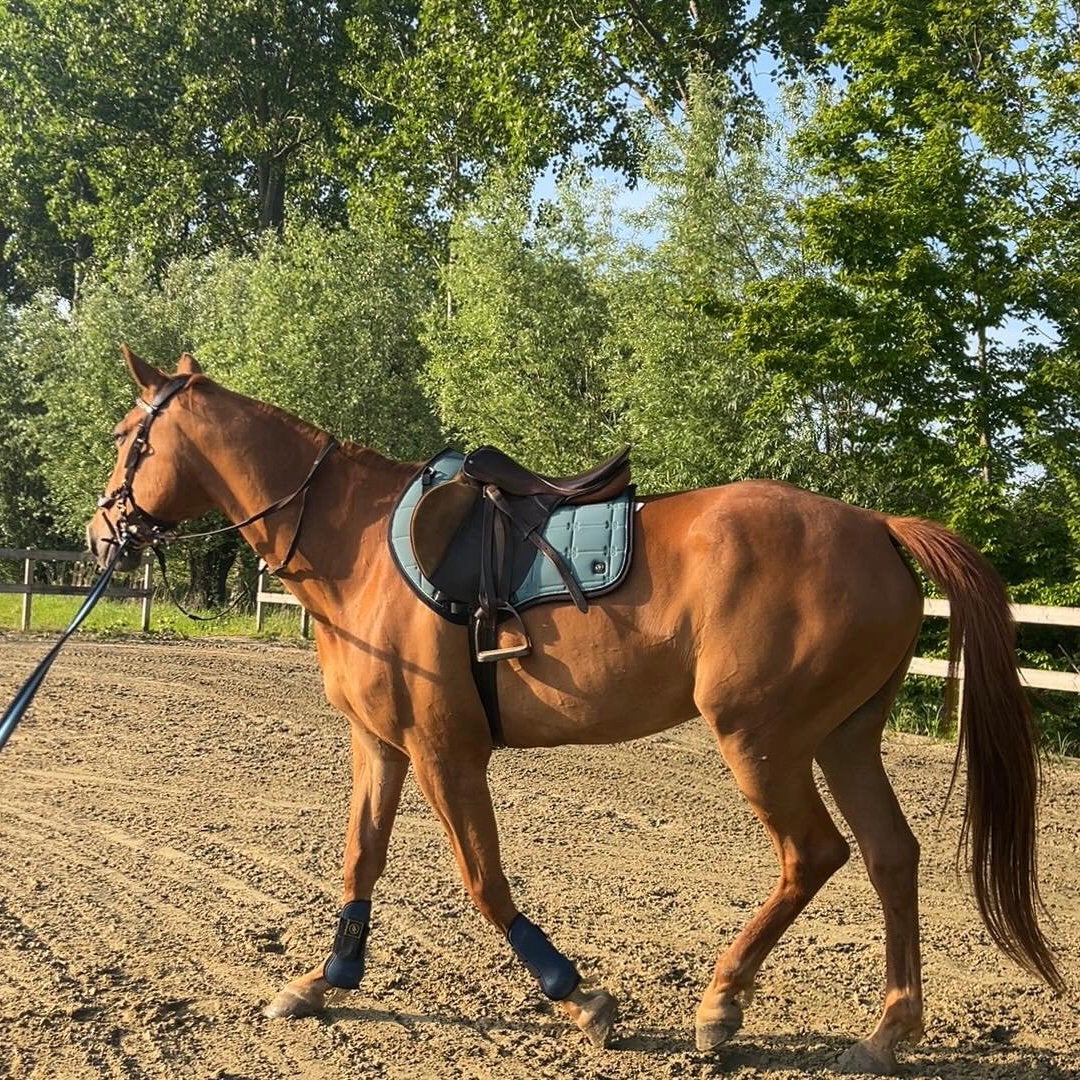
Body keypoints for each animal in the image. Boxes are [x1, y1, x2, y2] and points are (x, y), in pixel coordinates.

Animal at [86, 348, 1062, 1075]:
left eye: (128, 436)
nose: (101, 534)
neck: (358, 544)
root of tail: (876, 526)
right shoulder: (381, 746)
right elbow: (360, 861)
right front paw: (324, 982)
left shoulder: (446, 752)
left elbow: (484, 881)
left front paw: (580, 997)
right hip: (842, 739)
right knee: (892, 857)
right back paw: (887, 1032)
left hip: (762, 740)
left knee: (814, 854)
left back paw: (720, 1007)